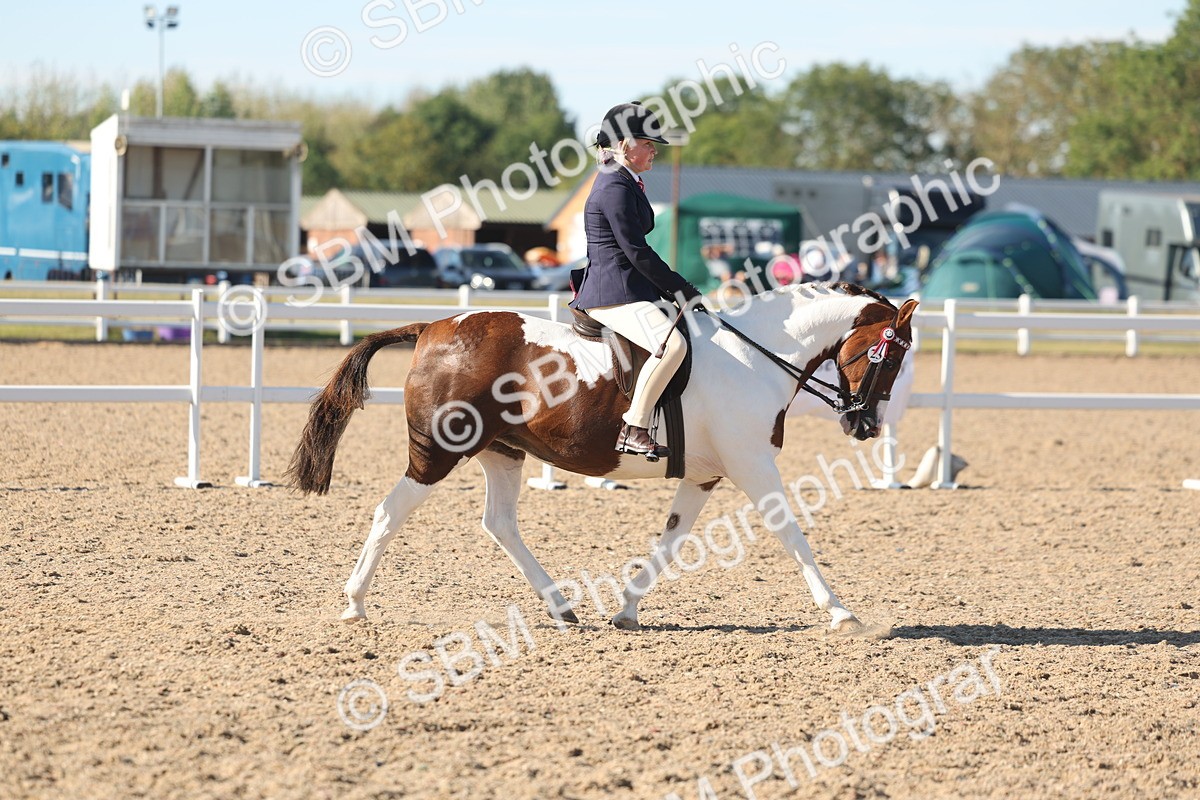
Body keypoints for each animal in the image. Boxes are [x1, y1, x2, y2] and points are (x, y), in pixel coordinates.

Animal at [286, 282, 918, 632]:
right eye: (890, 357)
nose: (864, 424)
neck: (755, 357)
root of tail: (431, 326)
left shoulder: (706, 475)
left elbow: (671, 540)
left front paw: (627, 610)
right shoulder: (752, 466)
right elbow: (791, 533)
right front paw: (842, 613)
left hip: (501, 452)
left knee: (499, 523)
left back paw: (561, 607)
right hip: (438, 450)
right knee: (391, 513)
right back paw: (354, 604)